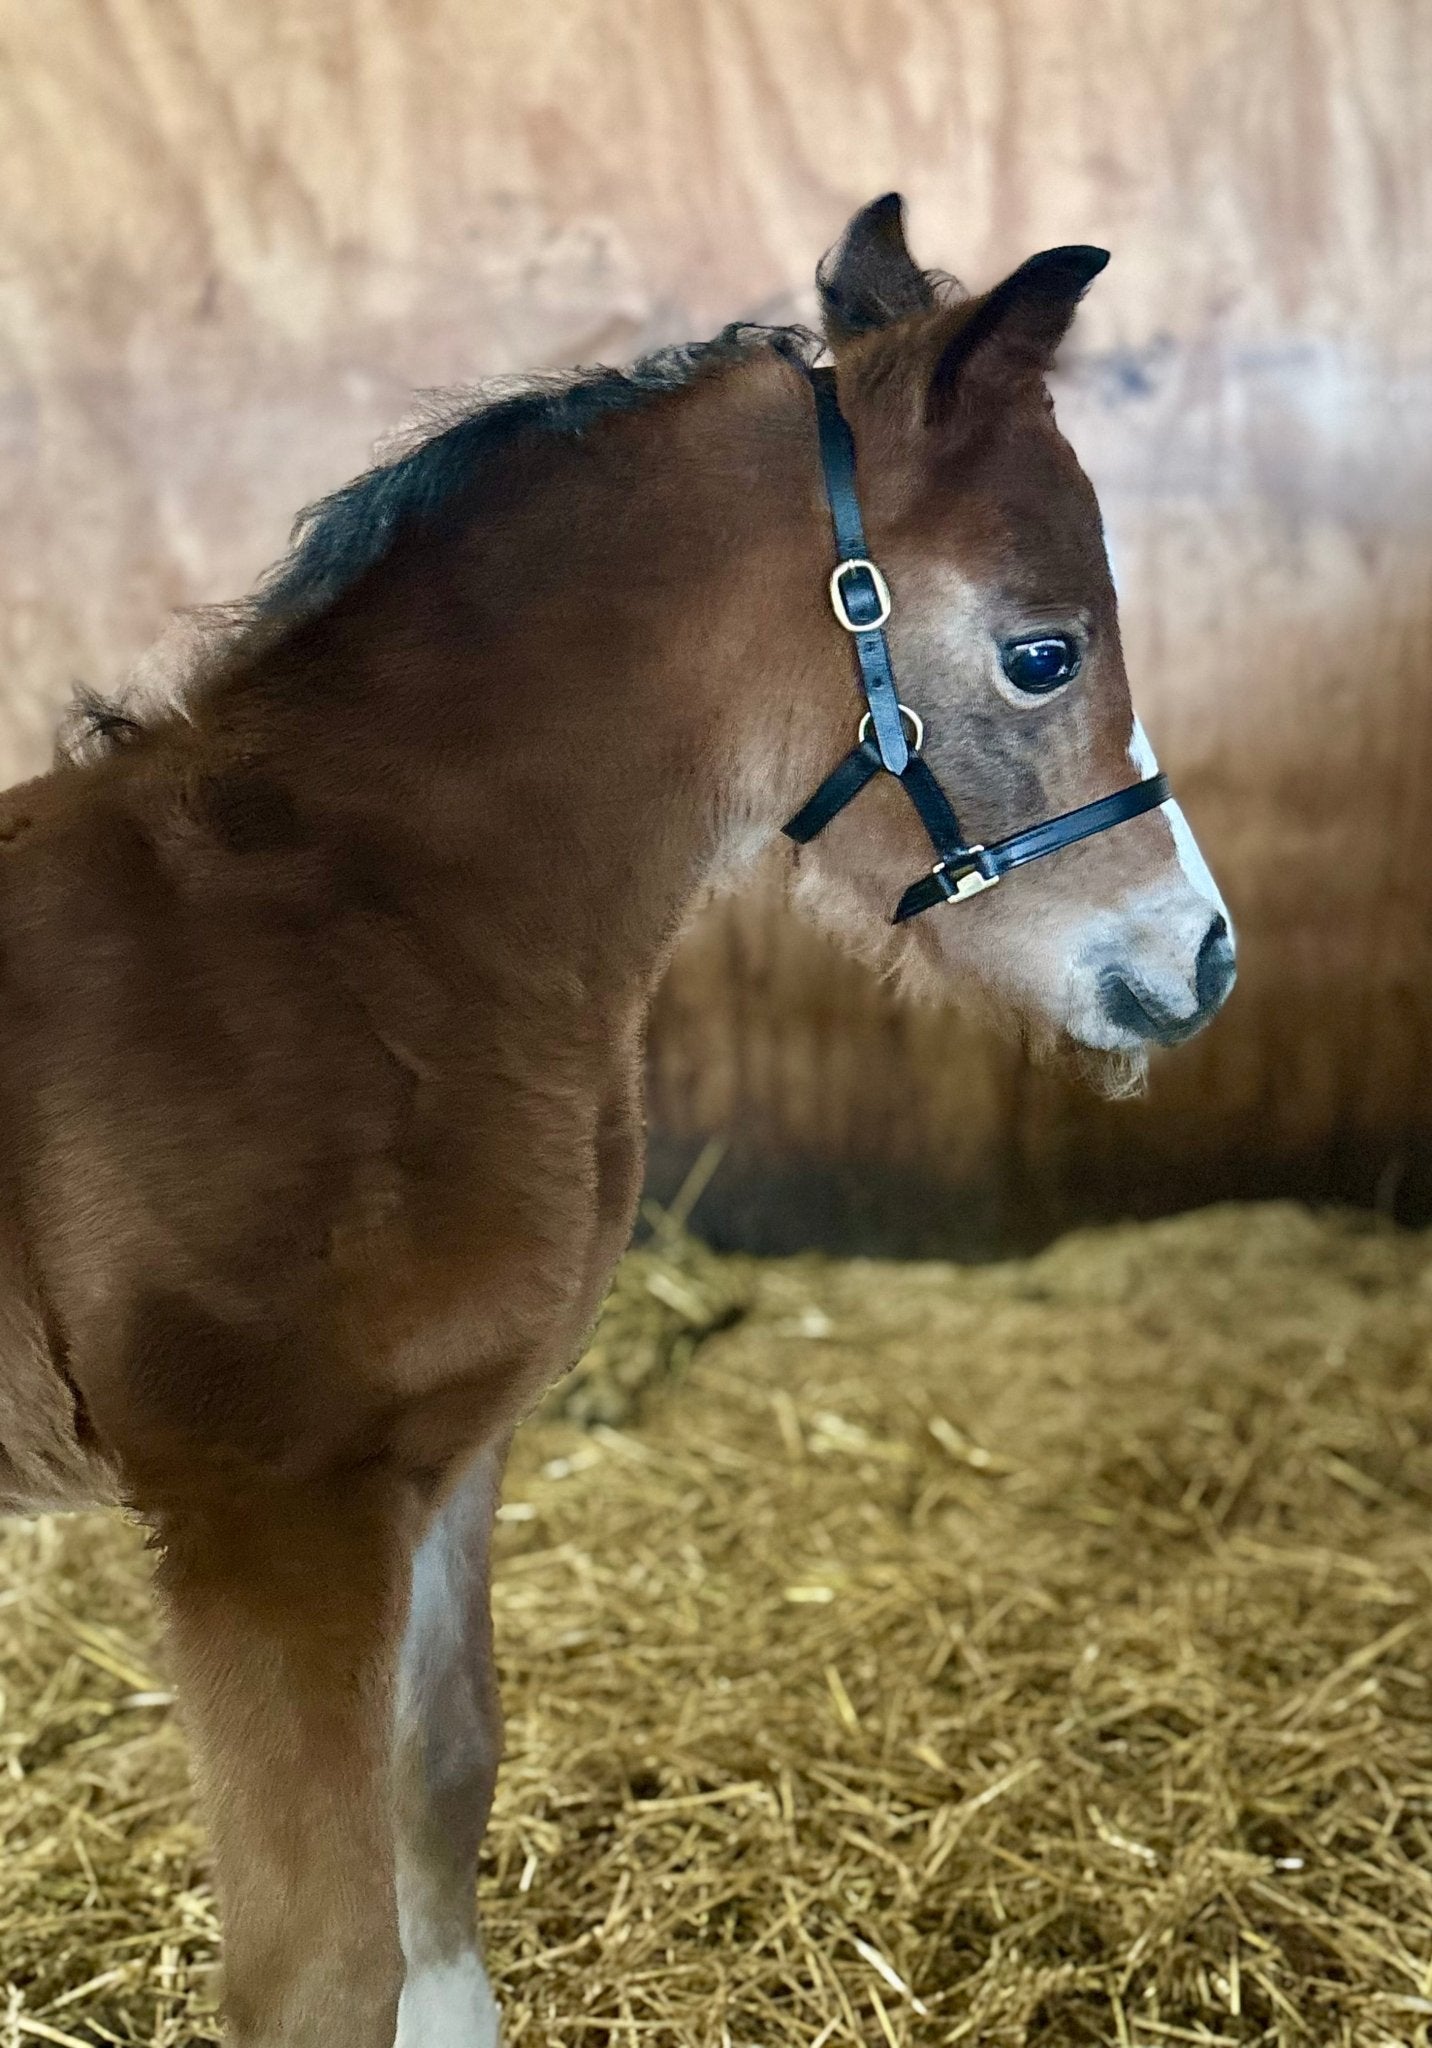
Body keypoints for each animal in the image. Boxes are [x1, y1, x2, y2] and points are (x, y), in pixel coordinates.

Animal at [0, 193, 1235, 2046]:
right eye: (1042, 651)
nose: (1199, 956)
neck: (352, 938)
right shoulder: (262, 1510)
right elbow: (316, 1962)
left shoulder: (444, 1454)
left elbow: (438, 1802)